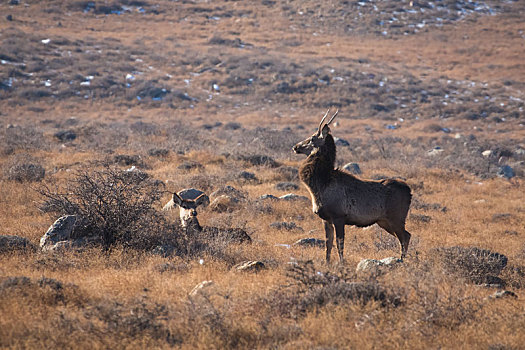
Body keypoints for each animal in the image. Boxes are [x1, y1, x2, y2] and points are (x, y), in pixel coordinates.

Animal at [292, 109, 412, 262]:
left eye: (313, 138)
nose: (295, 147)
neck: (320, 185)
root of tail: (409, 192)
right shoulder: (326, 219)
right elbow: (328, 244)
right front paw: (327, 263)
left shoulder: (339, 216)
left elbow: (339, 244)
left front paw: (341, 263)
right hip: (384, 221)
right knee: (405, 236)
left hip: (396, 217)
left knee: (405, 237)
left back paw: (402, 261)